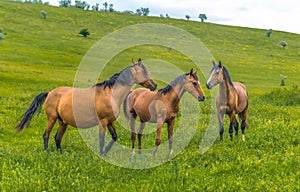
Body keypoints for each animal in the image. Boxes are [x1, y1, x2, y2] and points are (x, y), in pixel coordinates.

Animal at [16, 59, 157, 156]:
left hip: (63, 122)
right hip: (52, 118)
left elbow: (114, 137)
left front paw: (105, 152)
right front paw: (101, 154)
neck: (110, 94)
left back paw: (60, 153)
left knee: (57, 137)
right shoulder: (103, 121)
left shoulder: (110, 121)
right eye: (144, 72)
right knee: (46, 135)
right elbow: (101, 139)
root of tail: (50, 93)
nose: (154, 85)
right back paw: (47, 151)